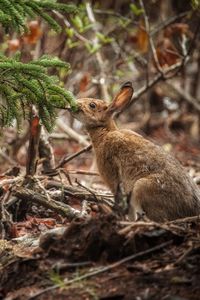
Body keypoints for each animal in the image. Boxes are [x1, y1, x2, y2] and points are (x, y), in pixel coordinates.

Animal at [68, 82, 200, 223]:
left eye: (92, 105)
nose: (73, 104)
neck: (105, 132)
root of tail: (192, 209)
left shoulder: (112, 177)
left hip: (142, 188)